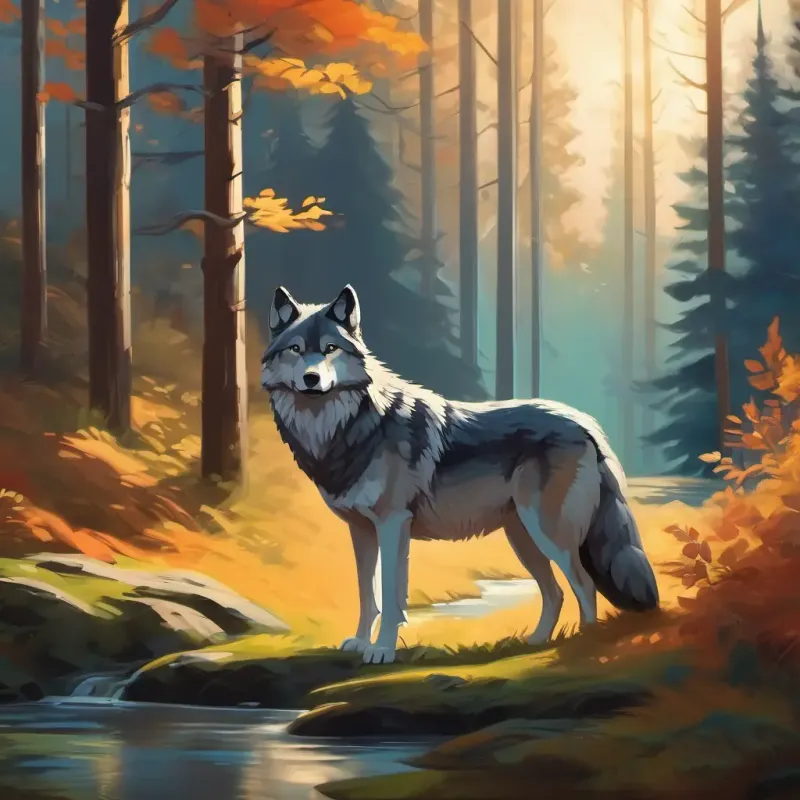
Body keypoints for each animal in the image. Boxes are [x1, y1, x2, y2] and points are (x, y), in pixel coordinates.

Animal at [261, 284, 660, 665]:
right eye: (296, 349)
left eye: (330, 349)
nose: (311, 378)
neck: (345, 428)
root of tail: (585, 423)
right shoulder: (361, 532)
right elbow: (366, 594)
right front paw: (360, 643)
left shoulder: (393, 525)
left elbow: (390, 597)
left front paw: (382, 651)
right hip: (524, 539)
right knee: (556, 592)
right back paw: (535, 642)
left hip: (550, 535)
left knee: (584, 586)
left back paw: (582, 645)